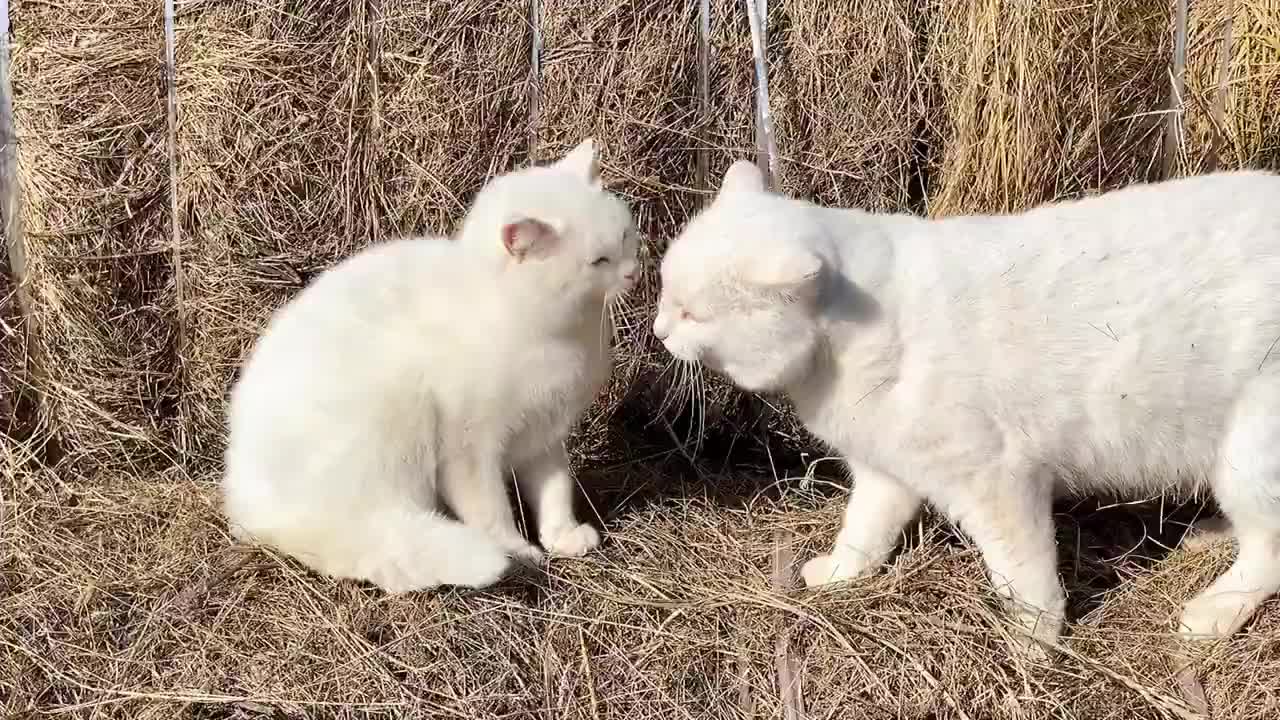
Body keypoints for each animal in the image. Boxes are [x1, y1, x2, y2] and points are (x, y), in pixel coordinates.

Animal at [225, 140, 640, 589]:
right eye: (599, 261)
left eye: (625, 235)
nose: (634, 273)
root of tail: (255, 513)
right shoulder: (469, 448)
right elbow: (491, 511)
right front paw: (518, 551)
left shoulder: (543, 433)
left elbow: (555, 491)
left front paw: (563, 538)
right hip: (397, 415)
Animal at [655, 161, 1280, 645]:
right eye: (664, 293)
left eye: (691, 314)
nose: (659, 330)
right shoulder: (886, 471)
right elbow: (864, 531)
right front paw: (839, 574)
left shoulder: (997, 479)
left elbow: (1024, 573)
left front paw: (1035, 645)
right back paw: (1211, 537)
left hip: (1248, 456)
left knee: (1269, 549)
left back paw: (1213, 612)